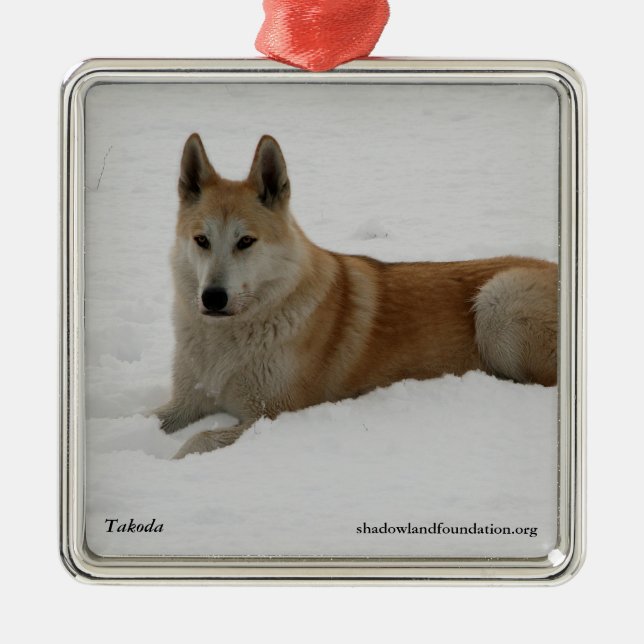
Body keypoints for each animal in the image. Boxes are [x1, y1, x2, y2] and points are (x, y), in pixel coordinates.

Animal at [156, 133, 557, 459]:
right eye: (201, 240)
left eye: (246, 242)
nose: (212, 298)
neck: (227, 339)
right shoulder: (185, 401)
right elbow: (151, 419)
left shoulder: (271, 414)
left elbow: (198, 439)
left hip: (498, 304)